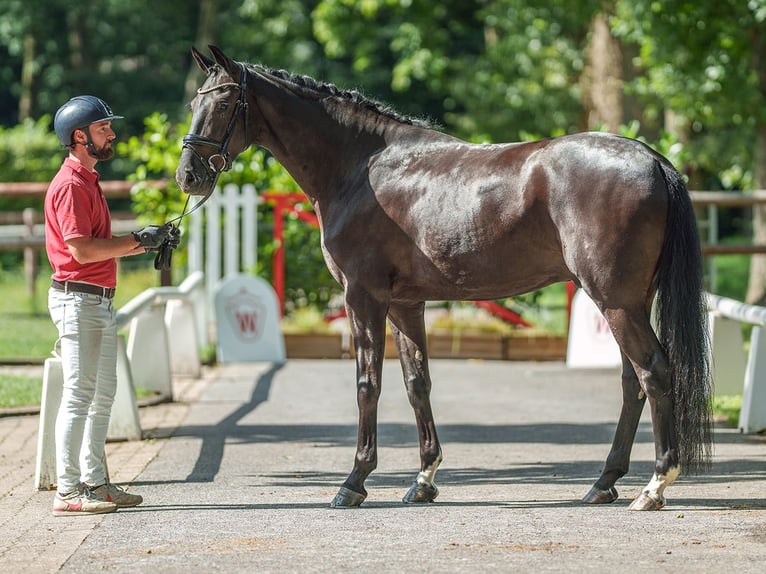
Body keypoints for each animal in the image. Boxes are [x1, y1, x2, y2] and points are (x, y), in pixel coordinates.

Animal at [176, 46, 712, 512]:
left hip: (615, 301)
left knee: (654, 372)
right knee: (632, 381)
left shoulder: (362, 298)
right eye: (194, 103)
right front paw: (423, 480)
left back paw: (655, 486)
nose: (187, 176)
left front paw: (354, 482)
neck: (361, 167)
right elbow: (418, 383)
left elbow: (367, 383)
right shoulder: (404, 304)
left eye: (223, 102)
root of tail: (652, 160)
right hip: (628, 301)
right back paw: (604, 483)